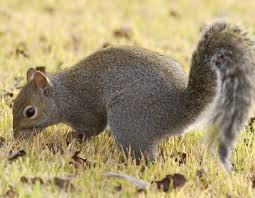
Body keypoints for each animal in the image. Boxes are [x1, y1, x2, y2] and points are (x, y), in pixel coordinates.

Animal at [11, 20, 255, 172]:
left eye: (30, 112)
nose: (15, 137)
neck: (61, 96)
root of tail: (179, 108)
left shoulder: (83, 109)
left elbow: (93, 127)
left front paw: (70, 137)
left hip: (127, 117)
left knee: (147, 158)